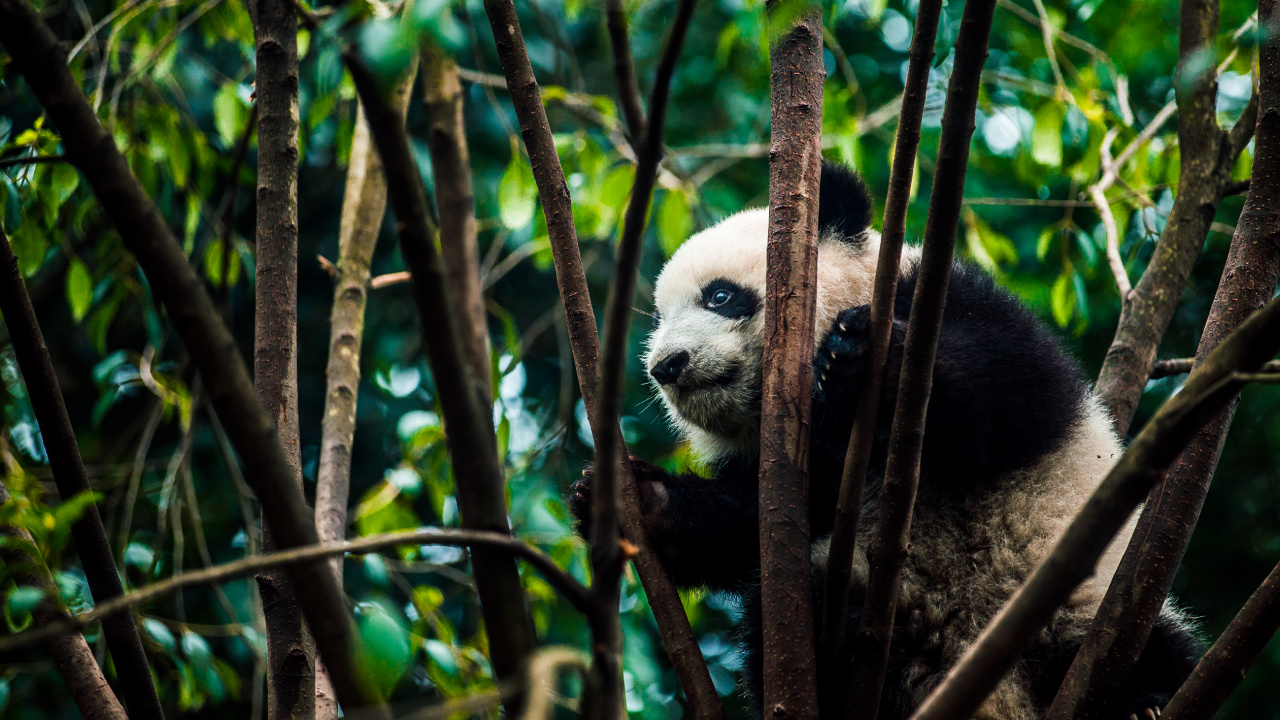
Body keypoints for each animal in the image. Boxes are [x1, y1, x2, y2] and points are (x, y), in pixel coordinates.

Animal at [569, 162, 1200, 720]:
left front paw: (867, 360)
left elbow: (1007, 394)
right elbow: (751, 522)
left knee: (1150, 650)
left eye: (720, 297)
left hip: (1079, 606)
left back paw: (1141, 704)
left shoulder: (944, 298)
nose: (667, 366)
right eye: (658, 318)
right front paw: (640, 499)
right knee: (807, 605)